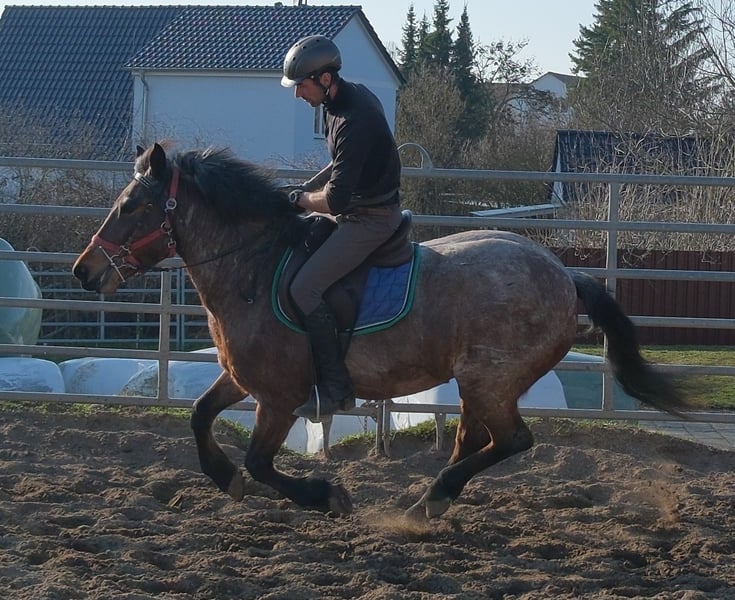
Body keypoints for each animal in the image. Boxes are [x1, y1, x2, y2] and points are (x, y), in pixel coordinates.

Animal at [72, 142, 687, 520]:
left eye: (132, 205)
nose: (84, 270)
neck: (254, 269)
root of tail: (564, 274)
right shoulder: (245, 381)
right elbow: (200, 417)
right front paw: (225, 479)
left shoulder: (280, 398)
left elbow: (260, 462)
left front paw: (326, 495)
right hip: (478, 386)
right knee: (475, 441)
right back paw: (428, 502)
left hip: (489, 381)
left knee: (512, 440)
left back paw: (432, 499)